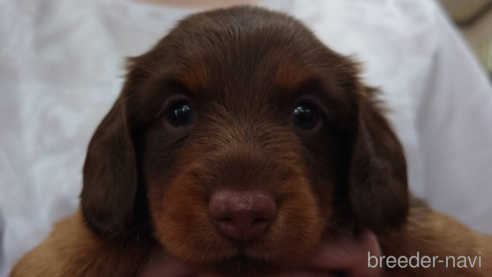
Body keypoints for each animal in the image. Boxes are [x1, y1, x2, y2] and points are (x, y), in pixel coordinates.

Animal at [9, 4, 490, 276]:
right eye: (178, 113)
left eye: (306, 114)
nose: (241, 214)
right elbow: (105, 230)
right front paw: (54, 258)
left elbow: (418, 224)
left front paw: (472, 252)